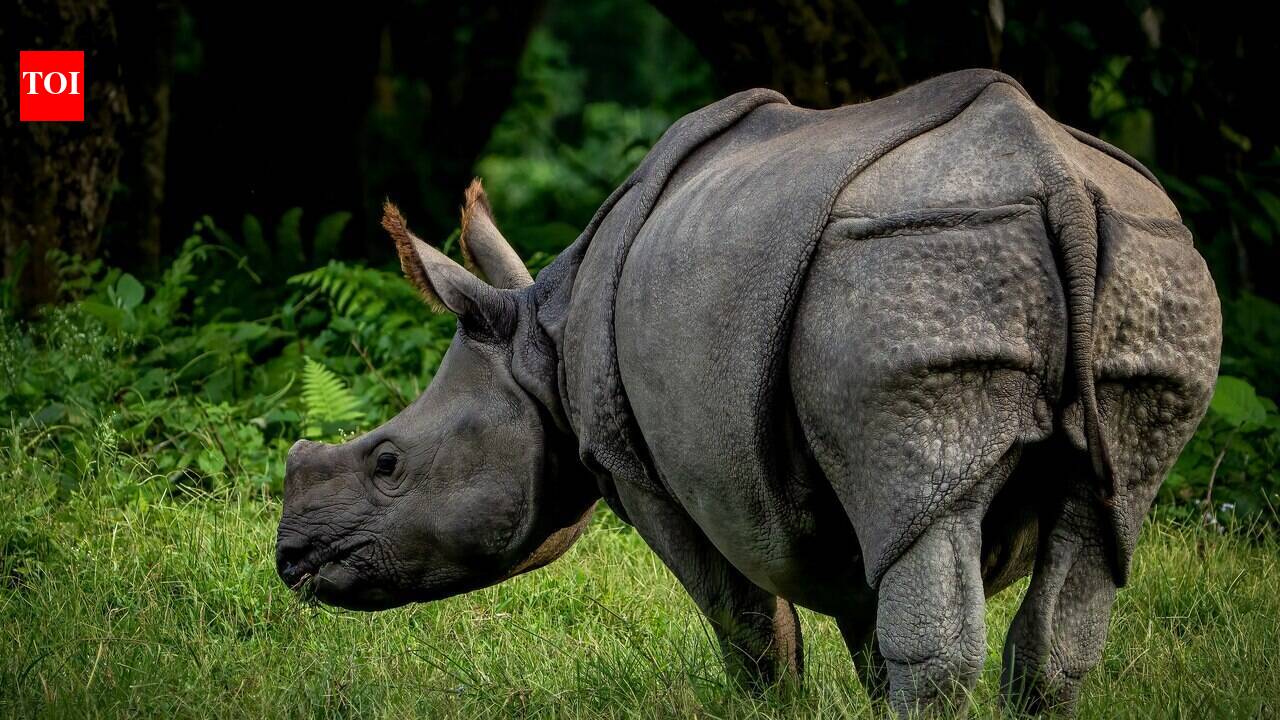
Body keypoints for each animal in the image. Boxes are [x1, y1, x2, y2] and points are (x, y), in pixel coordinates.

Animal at [275, 69, 1220, 715]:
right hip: (1144, 261)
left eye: (388, 463)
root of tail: (1059, 182)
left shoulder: (639, 467)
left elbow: (750, 626)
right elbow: (867, 624)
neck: (538, 341)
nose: (291, 561)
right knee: (1096, 528)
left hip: (910, 260)